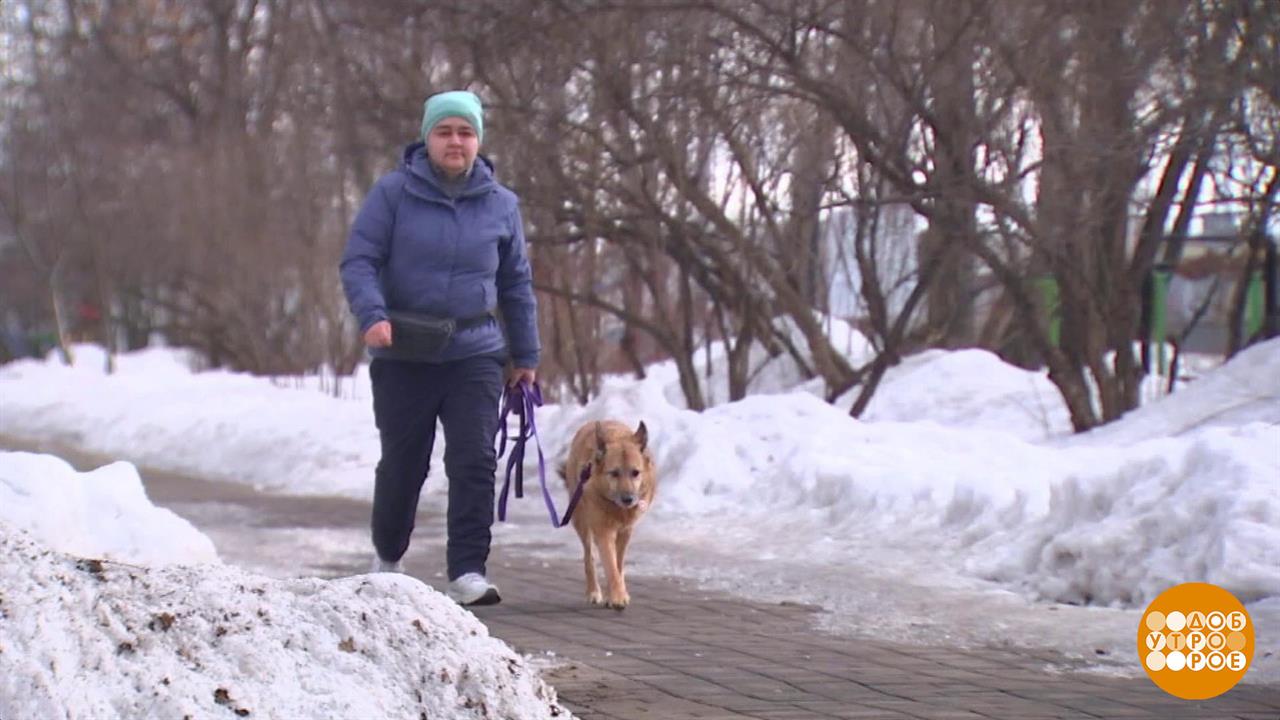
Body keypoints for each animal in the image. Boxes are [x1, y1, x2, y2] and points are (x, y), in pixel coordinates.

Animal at [560, 420, 656, 610]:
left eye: (635, 472)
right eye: (614, 473)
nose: (628, 499)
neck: (616, 507)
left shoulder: (626, 531)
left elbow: (618, 565)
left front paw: (617, 594)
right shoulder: (603, 530)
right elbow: (610, 566)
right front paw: (617, 597)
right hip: (580, 520)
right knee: (589, 556)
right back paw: (593, 591)